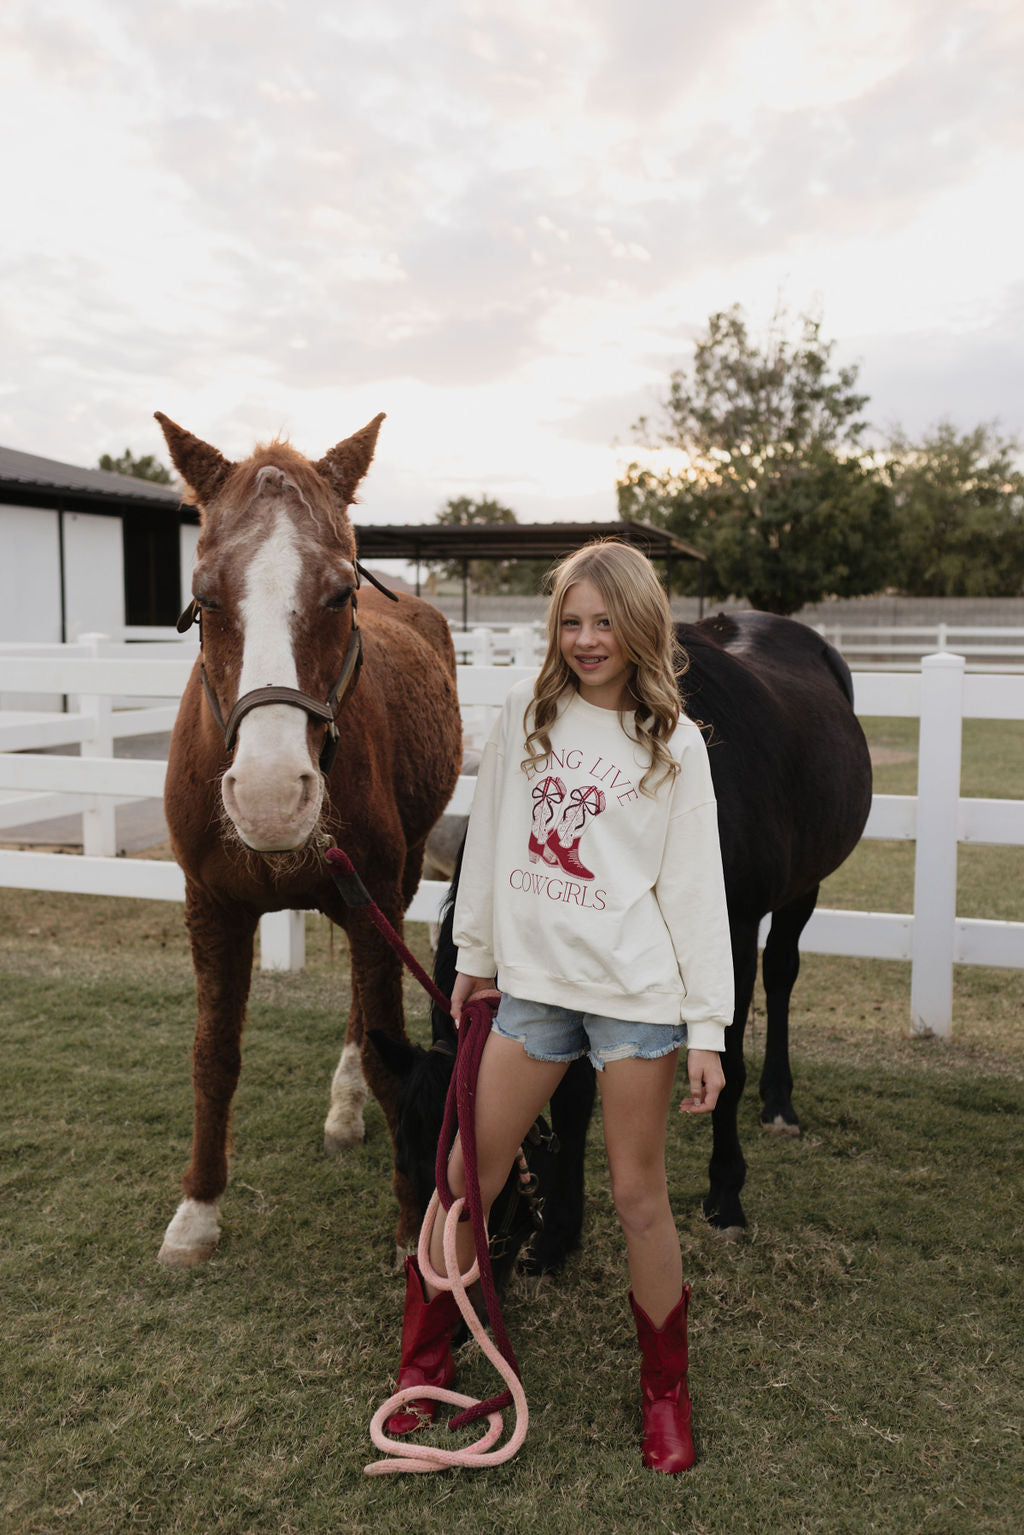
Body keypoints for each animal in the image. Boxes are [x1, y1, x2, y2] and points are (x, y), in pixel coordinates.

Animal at [155, 414, 460, 1264]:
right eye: (204, 596)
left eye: (339, 592)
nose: (267, 795)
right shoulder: (211, 908)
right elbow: (212, 1058)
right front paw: (197, 1210)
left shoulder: (371, 895)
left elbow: (389, 1053)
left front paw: (411, 1229)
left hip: (399, 877)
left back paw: (346, 1109)